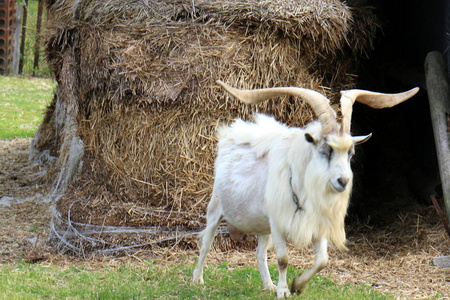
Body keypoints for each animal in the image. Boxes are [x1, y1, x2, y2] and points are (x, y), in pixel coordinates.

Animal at [192, 80, 418, 298]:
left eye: (350, 153)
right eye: (325, 151)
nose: (343, 181)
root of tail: (230, 135)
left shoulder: (316, 223)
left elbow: (323, 260)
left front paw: (297, 285)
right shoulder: (279, 222)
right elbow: (283, 259)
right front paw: (284, 291)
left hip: (263, 224)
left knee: (260, 252)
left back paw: (268, 285)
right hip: (216, 207)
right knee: (206, 242)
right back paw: (198, 279)